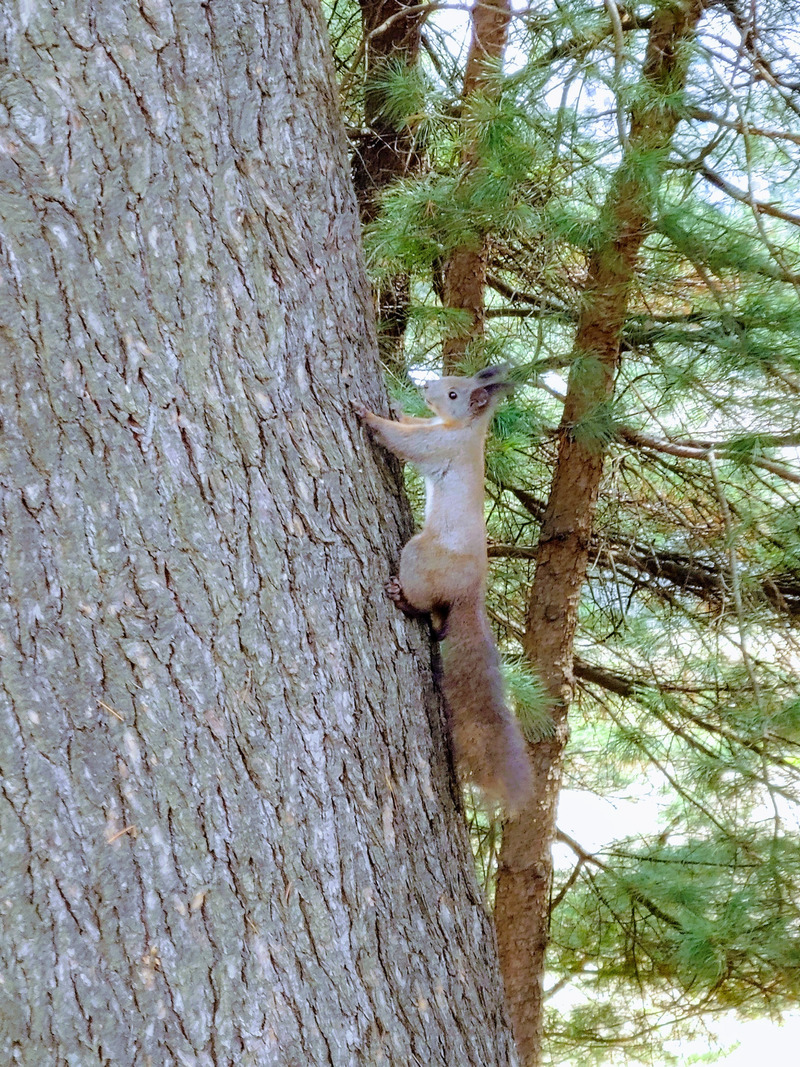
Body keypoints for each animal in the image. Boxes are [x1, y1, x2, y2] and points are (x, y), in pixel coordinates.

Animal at [356, 362, 533, 810]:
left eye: (454, 395)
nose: (424, 385)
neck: (466, 429)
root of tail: (470, 595)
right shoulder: (434, 427)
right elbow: (413, 424)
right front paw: (397, 406)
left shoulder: (440, 445)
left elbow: (407, 442)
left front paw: (371, 416)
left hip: (421, 556)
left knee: (422, 603)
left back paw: (402, 598)